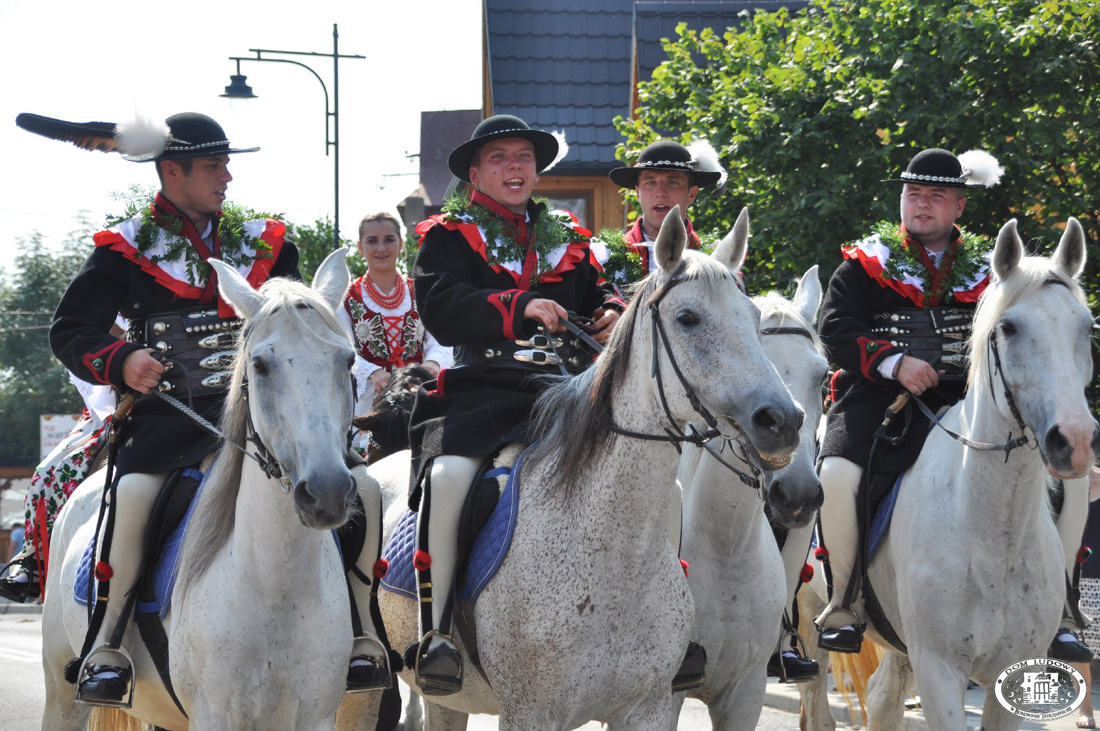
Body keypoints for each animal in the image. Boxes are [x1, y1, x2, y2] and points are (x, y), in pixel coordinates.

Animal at [42, 248, 360, 725]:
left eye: (348, 360)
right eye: (259, 365)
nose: (327, 492)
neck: (279, 589)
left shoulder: (316, 717)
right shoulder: (214, 716)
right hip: (60, 693)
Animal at [347, 205, 805, 729]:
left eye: (753, 319)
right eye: (687, 318)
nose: (783, 420)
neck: (618, 555)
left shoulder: (648, 709)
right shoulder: (531, 713)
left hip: (447, 701)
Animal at [800, 217, 1100, 729]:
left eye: (1086, 325)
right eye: (1009, 327)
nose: (1074, 441)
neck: (993, 531)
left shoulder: (1011, 671)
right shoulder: (939, 671)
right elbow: (841, 324)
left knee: (883, 698)